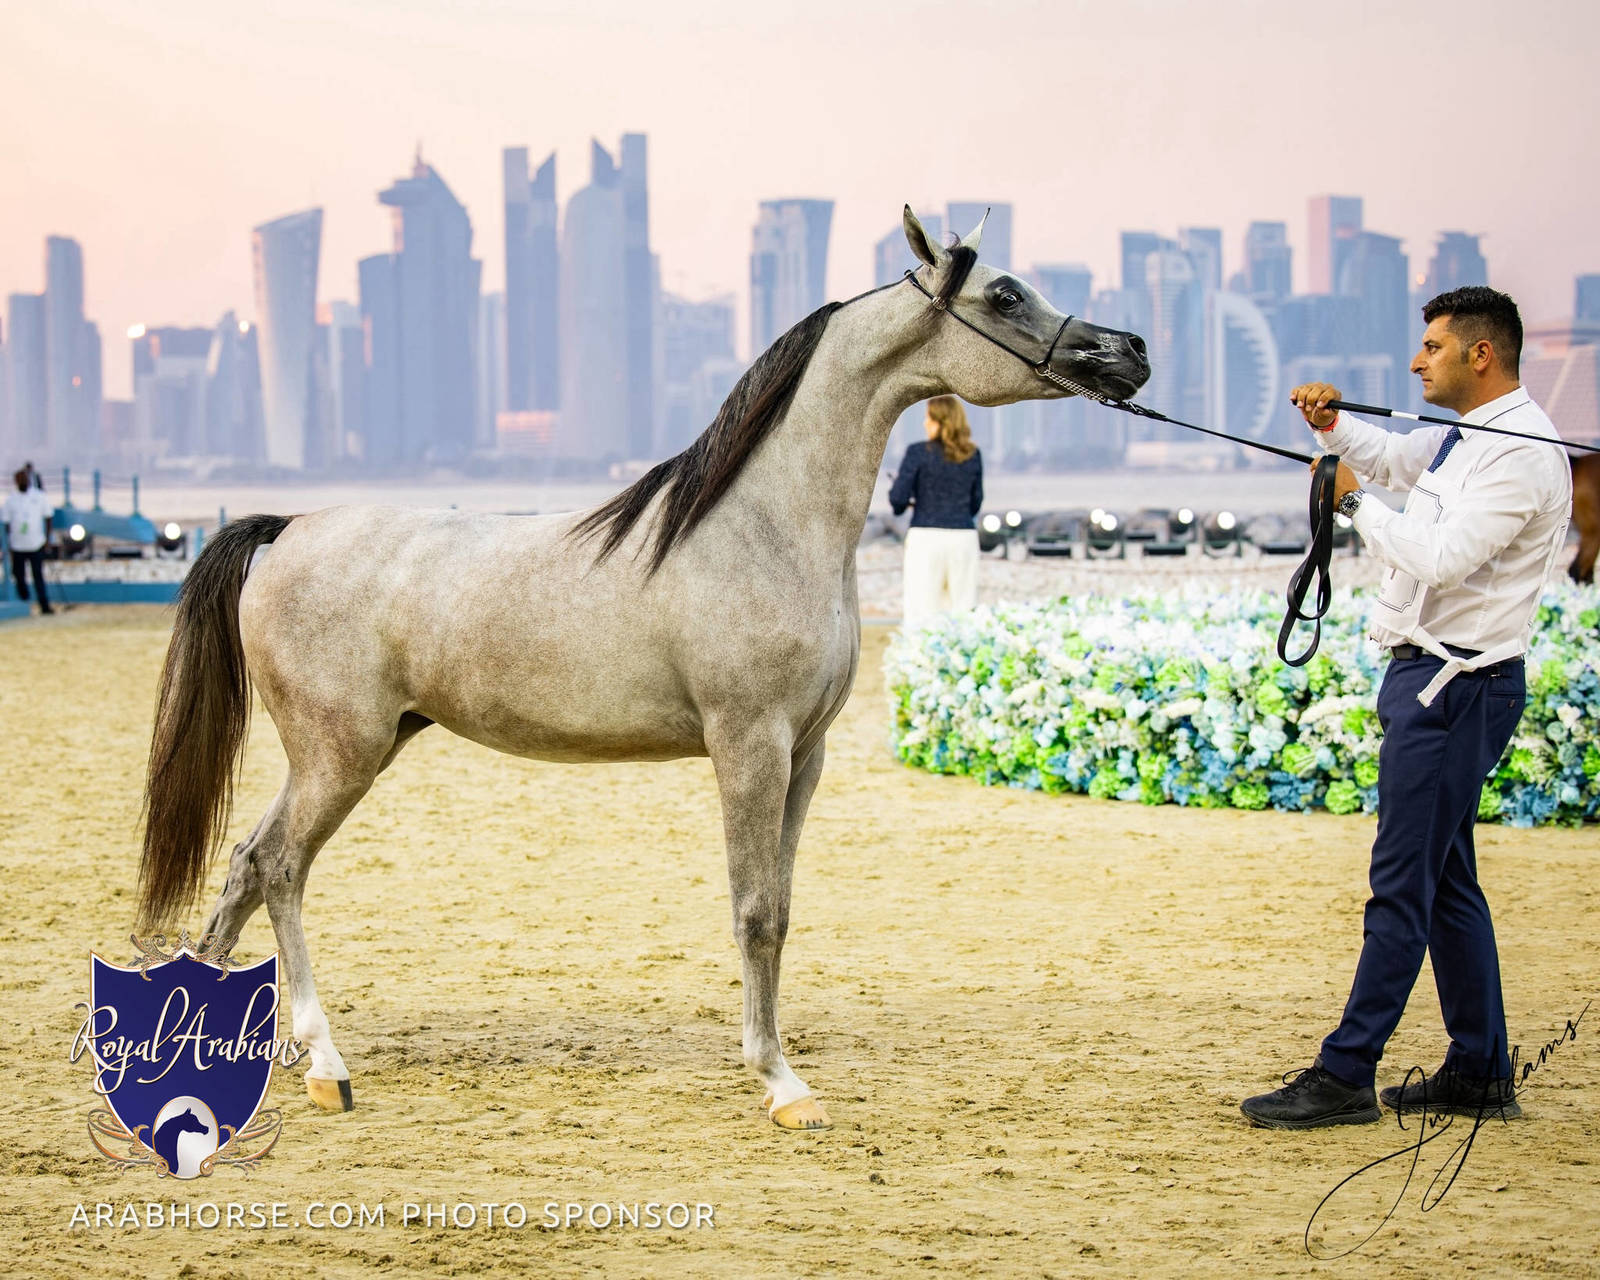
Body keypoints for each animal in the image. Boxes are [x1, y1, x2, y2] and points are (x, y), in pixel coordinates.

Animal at [136, 207, 1150, 1130]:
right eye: (1005, 294)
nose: (1130, 350)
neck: (764, 527)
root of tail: (286, 530)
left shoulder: (805, 756)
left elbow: (784, 906)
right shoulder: (750, 746)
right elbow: (756, 910)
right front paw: (780, 1083)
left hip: (353, 750)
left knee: (245, 866)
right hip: (339, 756)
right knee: (279, 868)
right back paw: (323, 1063)